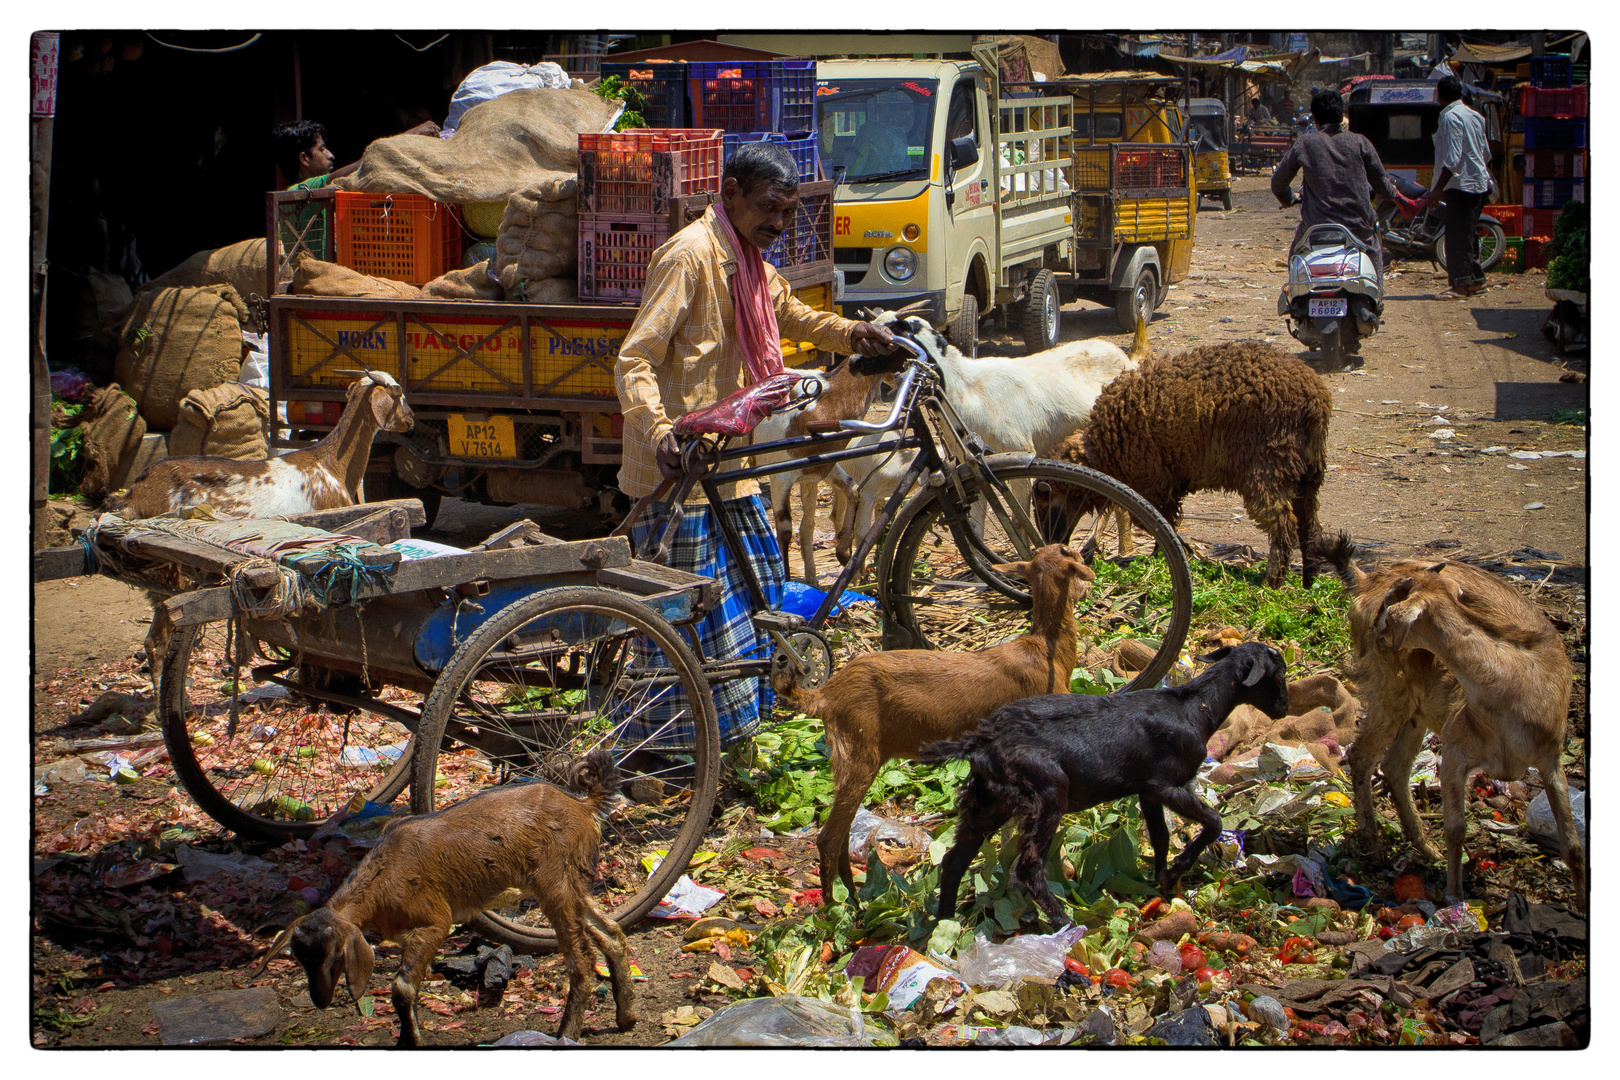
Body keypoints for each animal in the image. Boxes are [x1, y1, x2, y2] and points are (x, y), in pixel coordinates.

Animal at [767, 544, 1095, 900]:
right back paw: (835, 909)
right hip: (858, 751)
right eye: (1074, 558)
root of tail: (826, 694)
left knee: (841, 834)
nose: (1087, 584)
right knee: (828, 837)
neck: (1046, 650)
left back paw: (853, 899)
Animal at [926, 647, 1289, 926]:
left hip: (988, 800)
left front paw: (1163, 880)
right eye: (1279, 675)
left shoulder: (1146, 790)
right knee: (1029, 866)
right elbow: (1213, 821)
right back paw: (1064, 922)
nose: (1284, 708)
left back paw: (944, 923)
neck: (1193, 707)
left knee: (955, 860)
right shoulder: (1166, 784)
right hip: (1046, 794)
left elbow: (1160, 835)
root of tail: (984, 740)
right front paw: (1177, 869)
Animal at [1043, 340, 1334, 586]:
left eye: (1043, 498)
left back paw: (1271, 582)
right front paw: (1172, 558)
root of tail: (1315, 399)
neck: (1104, 450)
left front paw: (1166, 560)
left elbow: (1161, 526)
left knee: (1283, 525)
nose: (1050, 542)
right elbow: (1166, 524)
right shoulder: (1165, 487)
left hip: (1267, 464)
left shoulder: (1154, 484)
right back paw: (1309, 580)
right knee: (1309, 526)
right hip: (1307, 472)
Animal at [1328, 537, 1581, 906]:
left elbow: (1572, 845)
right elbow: (1455, 828)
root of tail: (1367, 579)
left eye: (1391, 612)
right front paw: (1455, 896)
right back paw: (1374, 848)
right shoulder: (1455, 750)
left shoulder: (1551, 760)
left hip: (1417, 711)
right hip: (1391, 691)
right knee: (1362, 755)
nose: (1376, 631)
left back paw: (1424, 849)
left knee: (1394, 767)